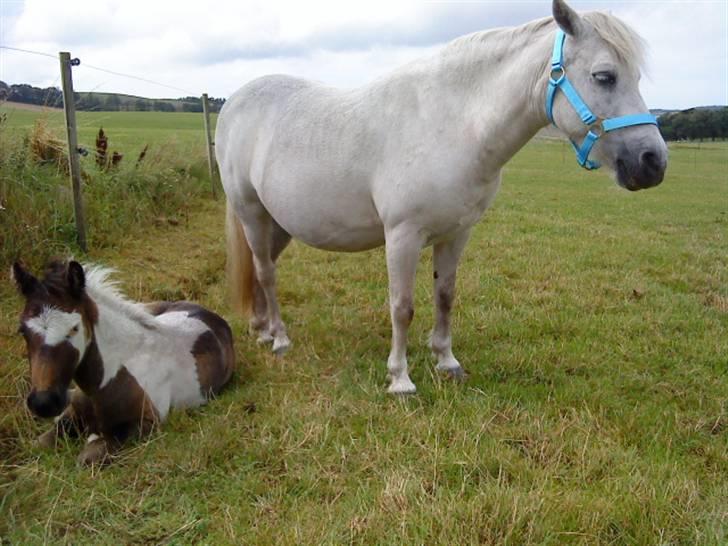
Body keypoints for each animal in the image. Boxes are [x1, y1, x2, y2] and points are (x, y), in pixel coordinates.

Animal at [12, 260, 233, 464]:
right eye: (22, 330)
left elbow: (86, 457)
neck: (107, 379)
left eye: (74, 328)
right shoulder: (70, 415)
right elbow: (39, 444)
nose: (44, 403)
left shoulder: (145, 424)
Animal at [215, 0, 664, 392]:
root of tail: (234, 102)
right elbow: (402, 305)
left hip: (279, 223)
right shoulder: (402, 236)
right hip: (251, 213)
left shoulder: (457, 233)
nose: (653, 161)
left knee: (262, 270)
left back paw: (261, 329)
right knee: (265, 273)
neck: (451, 124)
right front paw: (400, 378)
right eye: (604, 76)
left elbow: (444, 295)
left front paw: (446, 362)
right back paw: (279, 338)